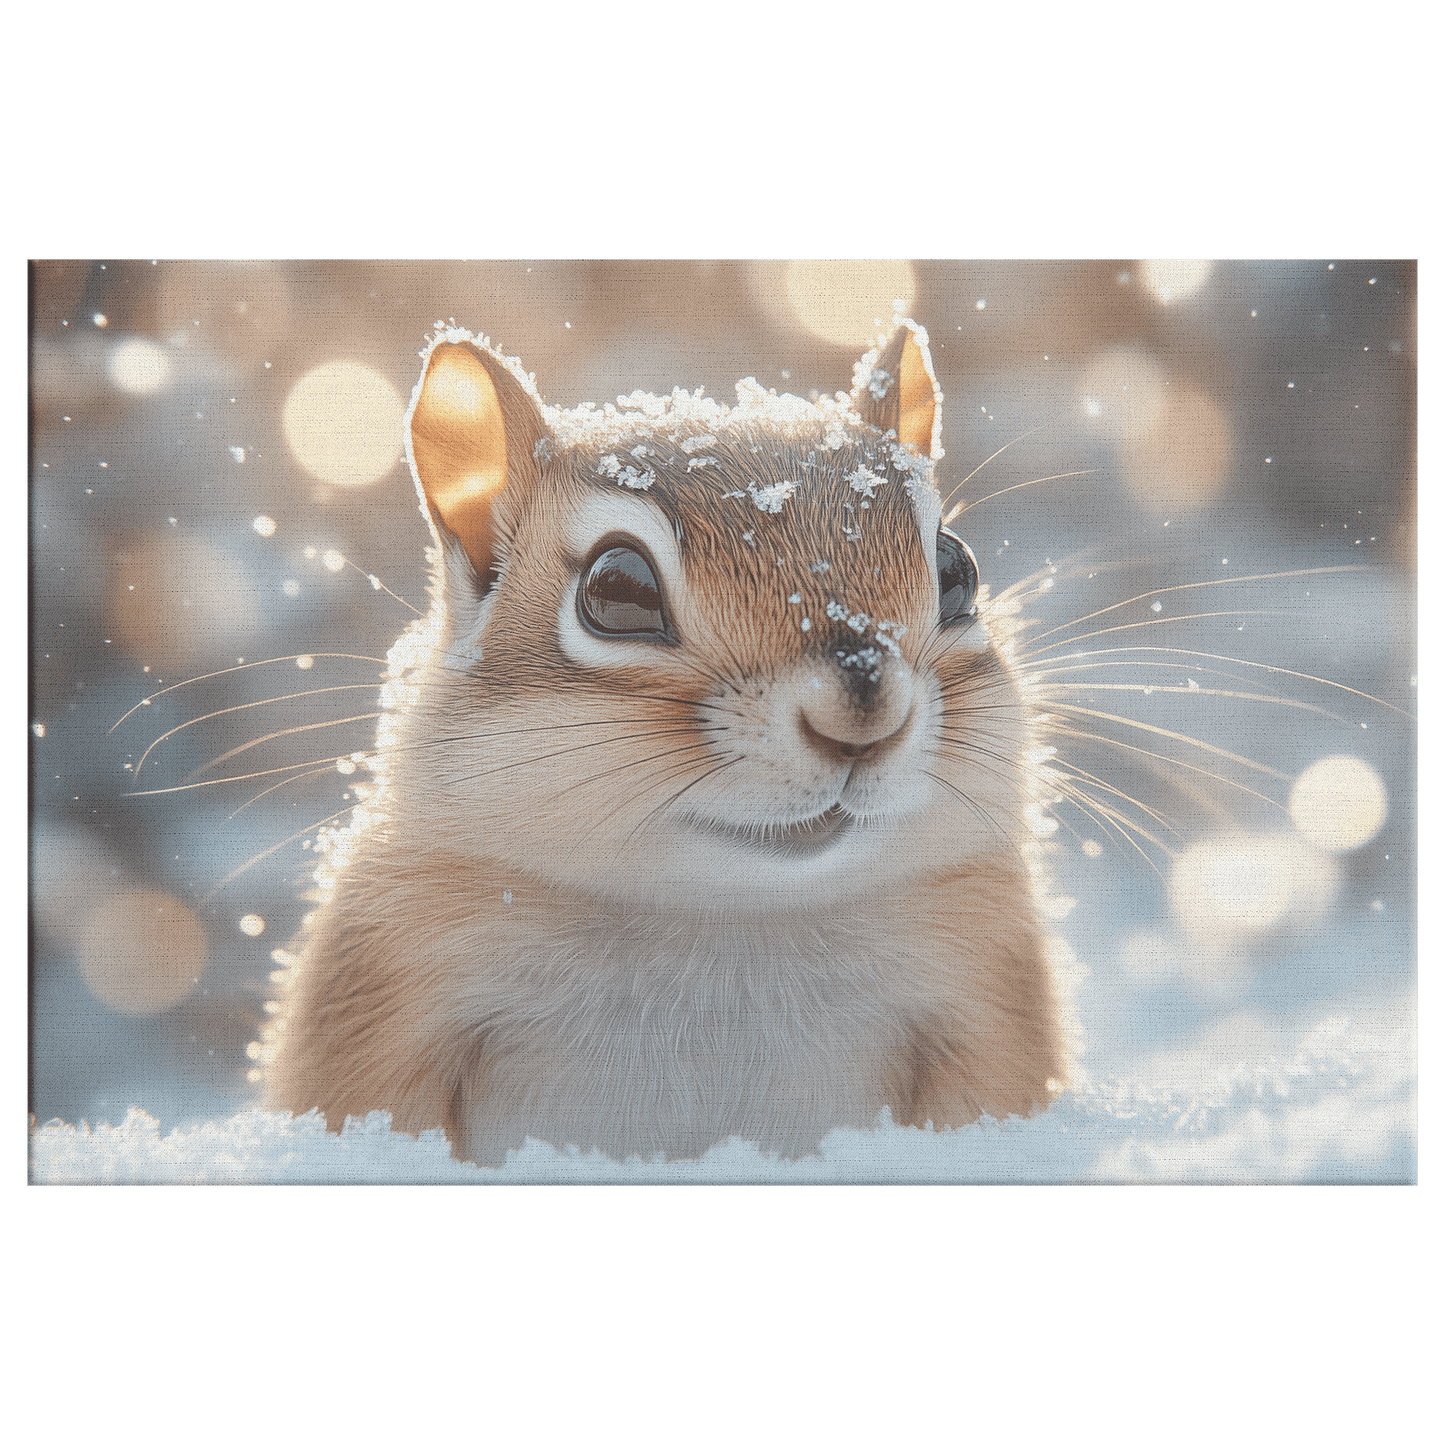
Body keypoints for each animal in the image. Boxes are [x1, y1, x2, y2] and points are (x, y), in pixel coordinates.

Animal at [262, 318, 1069, 1165]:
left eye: (955, 569)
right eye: (617, 589)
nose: (863, 718)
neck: (725, 919)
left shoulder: (985, 991)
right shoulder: (388, 982)